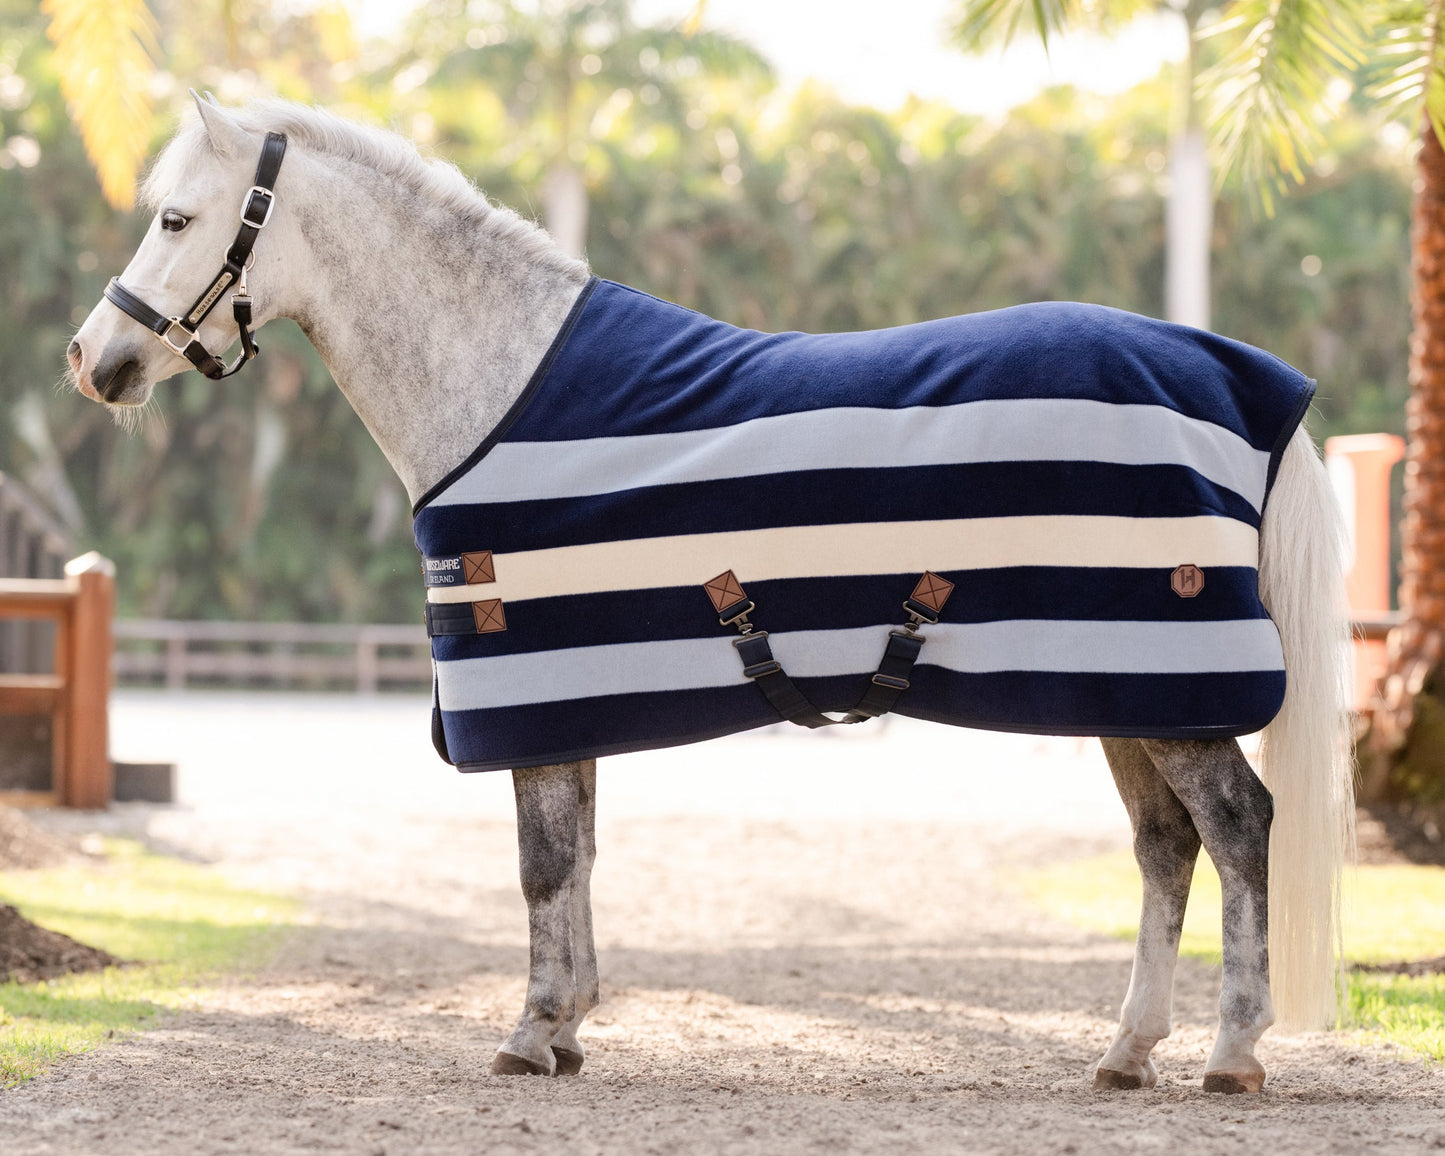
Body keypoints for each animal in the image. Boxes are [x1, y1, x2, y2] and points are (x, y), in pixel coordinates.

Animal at [66, 94, 1353, 1094]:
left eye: (176, 218)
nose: (93, 362)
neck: (500, 382)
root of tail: (1243, 382)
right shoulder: (564, 701)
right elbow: (579, 856)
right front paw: (569, 1026)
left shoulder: (528, 689)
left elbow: (542, 864)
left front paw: (531, 1033)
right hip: (1123, 689)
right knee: (1162, 846)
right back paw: (1126, 1050)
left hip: (1167, 692)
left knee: (1235, 828)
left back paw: (1231, 1053)